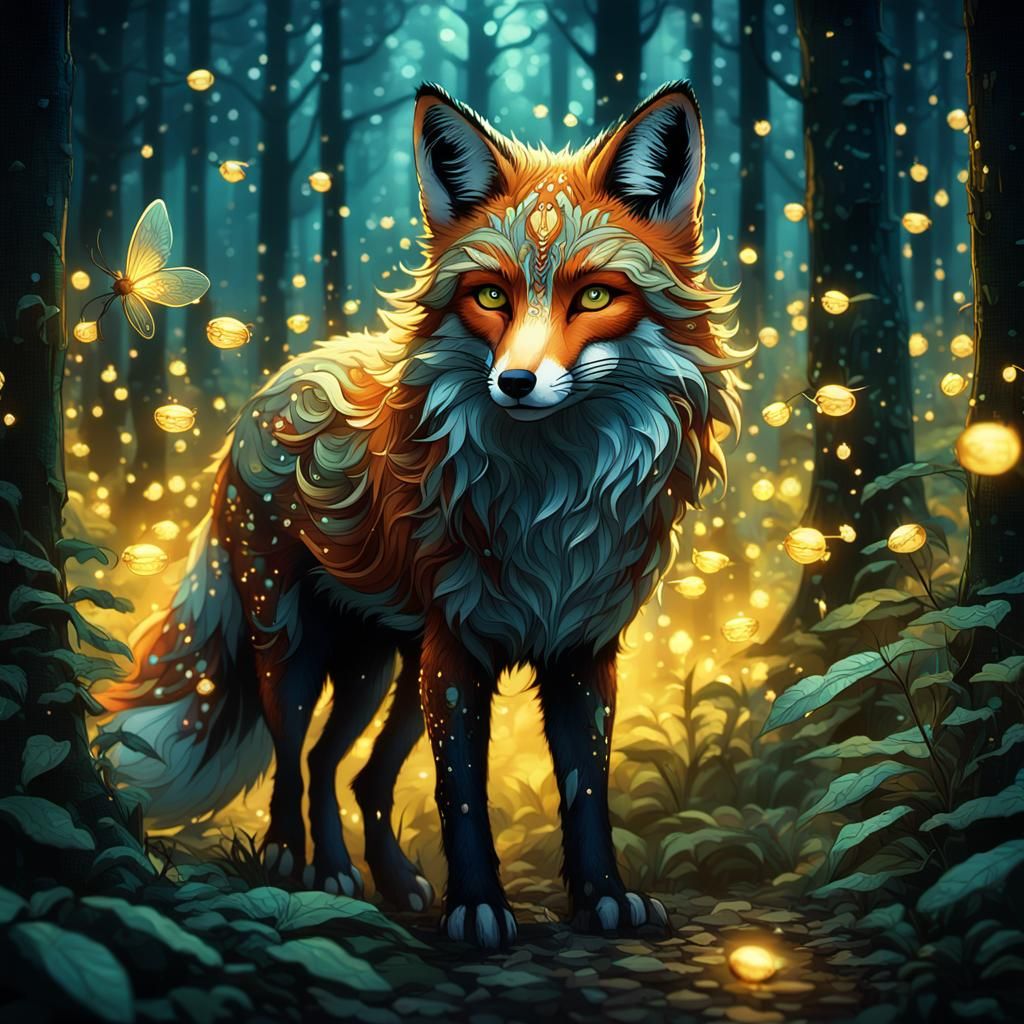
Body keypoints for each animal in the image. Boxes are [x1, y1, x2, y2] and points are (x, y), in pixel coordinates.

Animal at [104, 81, 745, 949]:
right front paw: (477, 908)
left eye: (595, 296)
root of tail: (279, 379)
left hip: (388, 671)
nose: (515, 382)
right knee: (290, 752)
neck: (551, 505)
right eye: (490, 295)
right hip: (299, 648)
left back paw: (381, 878)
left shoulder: (581, 650)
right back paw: (293, 860)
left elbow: (586, 790)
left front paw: (603, 898)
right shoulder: (458, 655)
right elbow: (462, 793)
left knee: (345, 770)